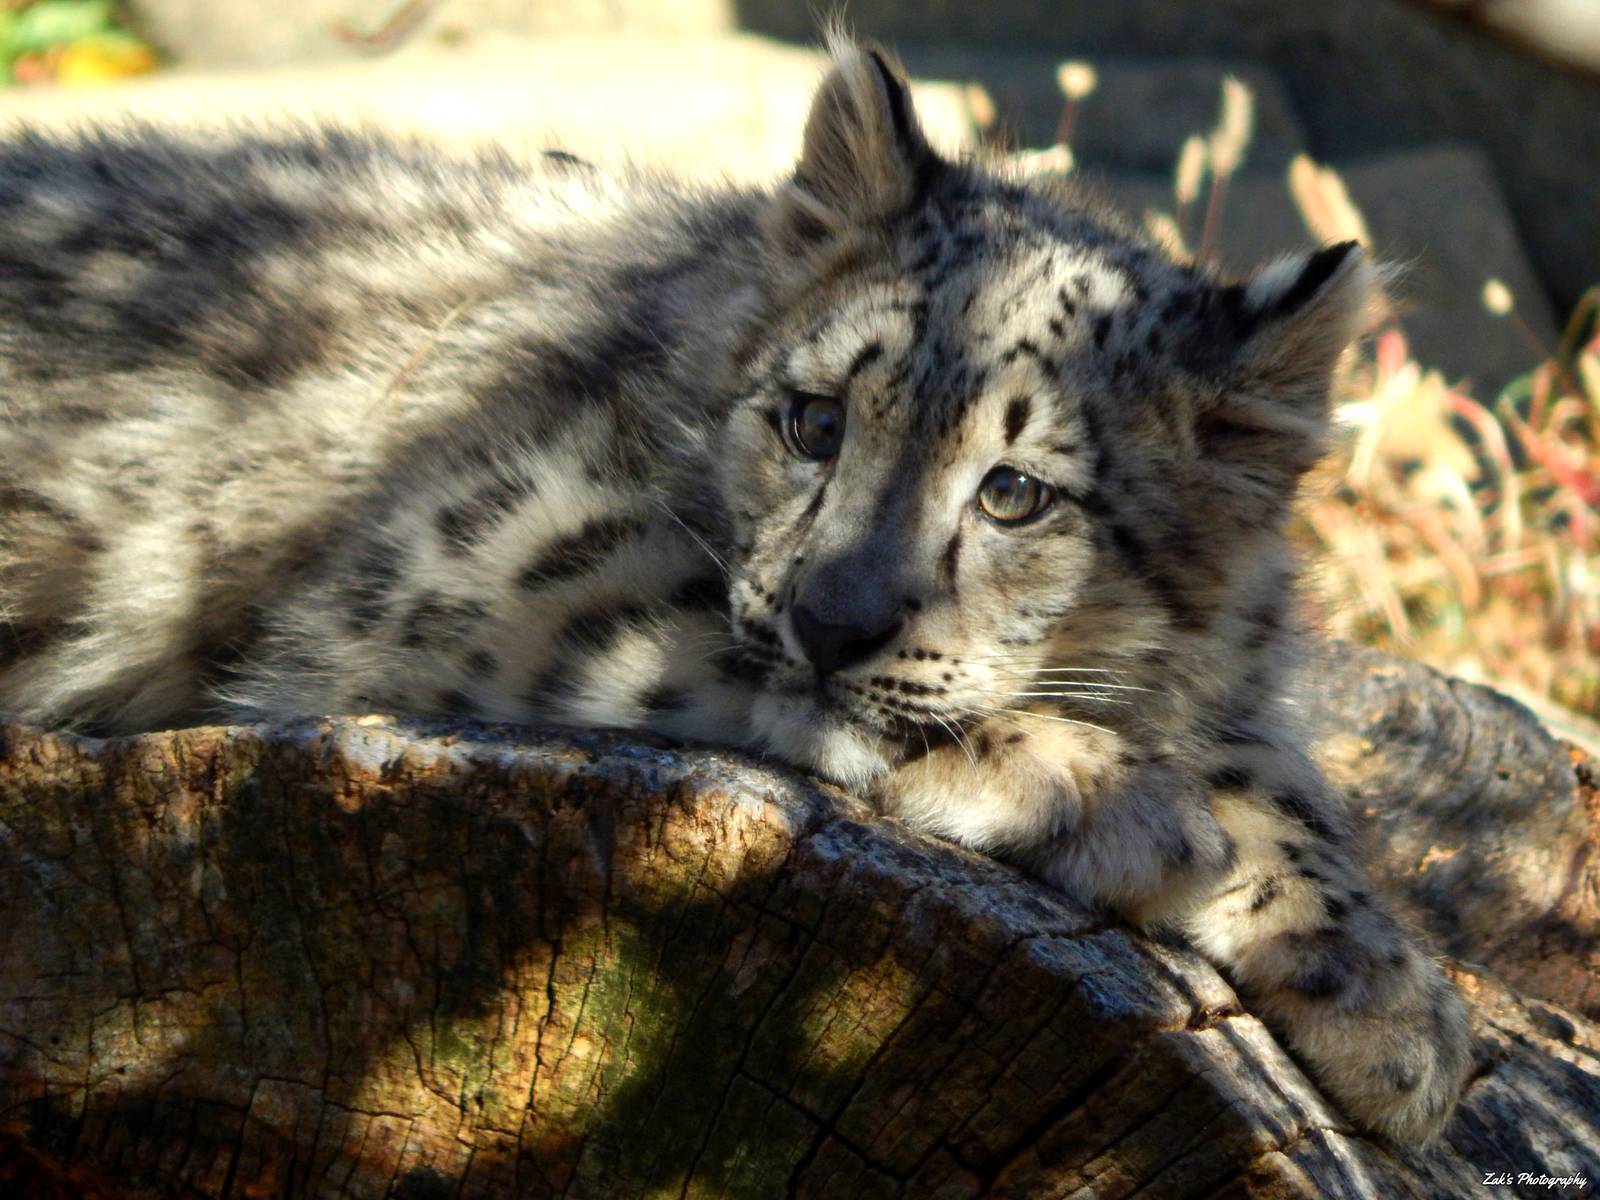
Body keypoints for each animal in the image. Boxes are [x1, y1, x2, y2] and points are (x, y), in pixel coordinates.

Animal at [0, 40, 1471, 1144]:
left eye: (1015, 493)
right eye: (814, 420)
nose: (834, 619)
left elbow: (1278, 771)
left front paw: (1390, 999)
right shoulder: (478, 547)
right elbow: (722, 652)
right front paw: (1107, 791)